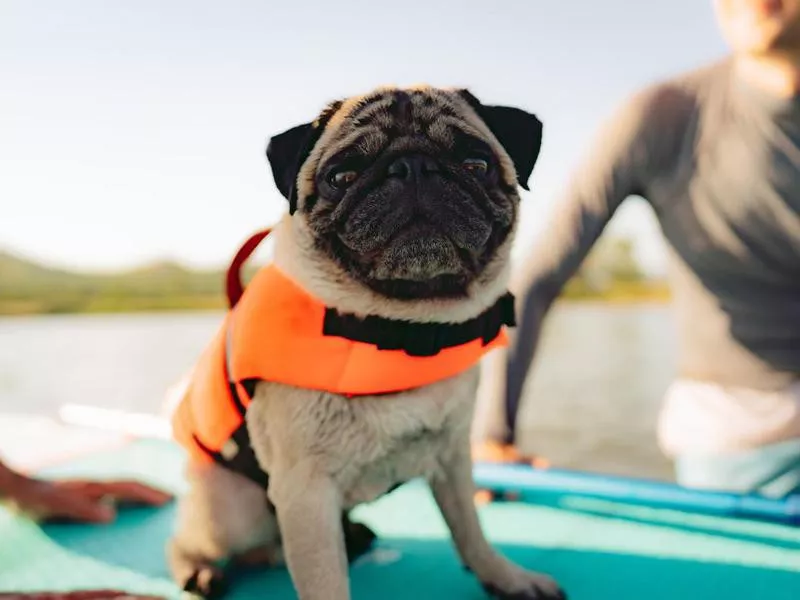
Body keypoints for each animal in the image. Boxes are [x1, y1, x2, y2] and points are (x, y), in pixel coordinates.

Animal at [164, 85, 564, 600]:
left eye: (476, 163)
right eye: (342, 176)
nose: (413, 167)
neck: (402, 328)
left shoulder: (453, 458)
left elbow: (470, 531)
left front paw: (504, 576)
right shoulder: (306, 492)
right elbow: (325, 584)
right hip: (232, 509)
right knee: (192, 537)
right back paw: (200, 568)